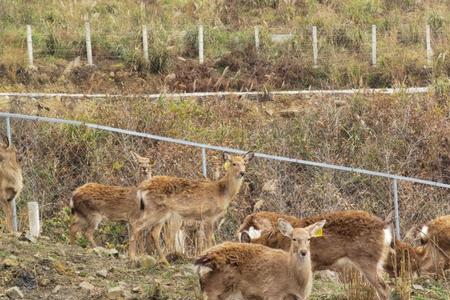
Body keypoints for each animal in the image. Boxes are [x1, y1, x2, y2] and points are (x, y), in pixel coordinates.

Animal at [195, 218, 326, 300]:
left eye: (308, 239)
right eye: (294, 239)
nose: (303, 252)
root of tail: (201, 263)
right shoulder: (272, 291)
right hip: (214, 290)